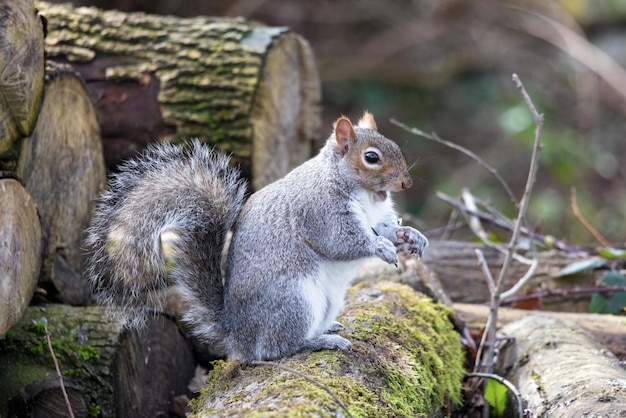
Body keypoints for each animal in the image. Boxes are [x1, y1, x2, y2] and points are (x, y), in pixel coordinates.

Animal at [85, 111, 426, 362]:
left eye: (394, 146)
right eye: (372, 157)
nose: (407, 183)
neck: (365, 193)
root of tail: (238, 336)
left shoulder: (376, 215)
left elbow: (387, 227)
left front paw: (411, 236)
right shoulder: (319, 211)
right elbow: (339, 241)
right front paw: (380, 247)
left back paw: (327, 329)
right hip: (294, 301)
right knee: (274, 349)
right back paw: (319, 342)